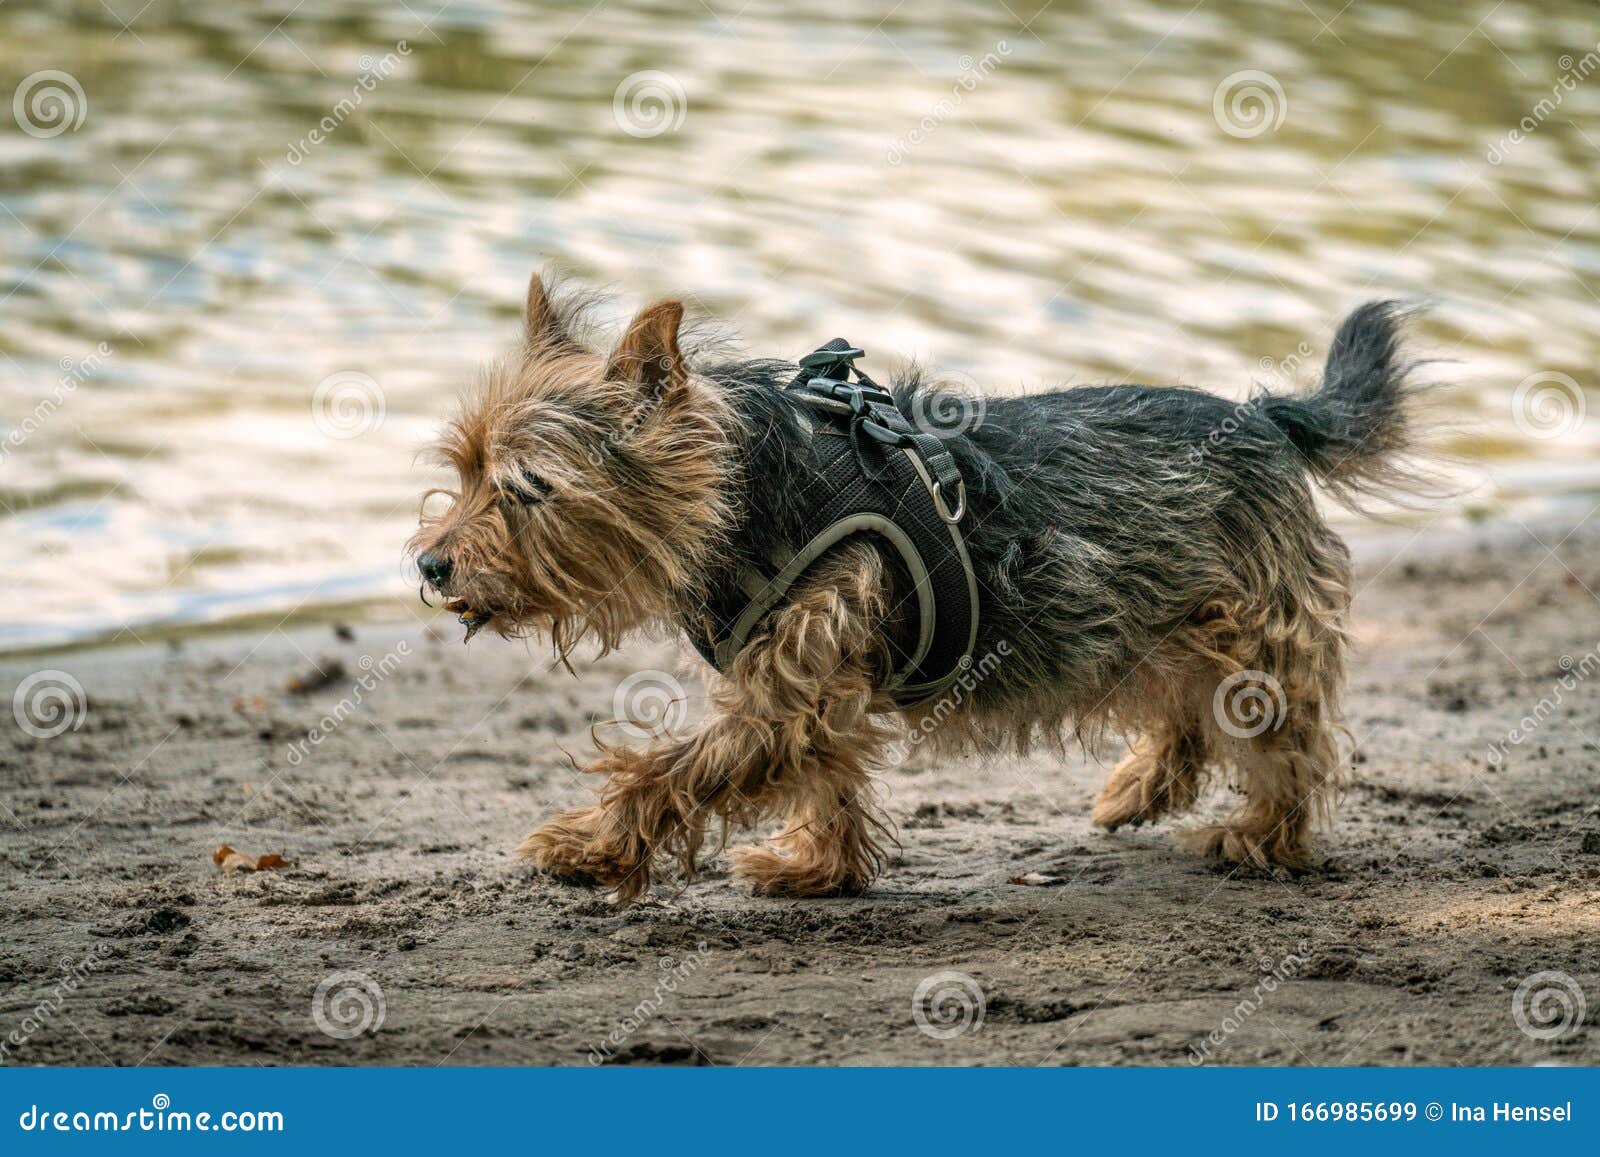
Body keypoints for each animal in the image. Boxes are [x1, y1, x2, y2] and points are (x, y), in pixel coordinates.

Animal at [409, 273, 1427, 902]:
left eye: (524, 489)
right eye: (463, 469)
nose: (428, 563)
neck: (747, 490)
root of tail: (1268, 417)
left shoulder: (788, 685)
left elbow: (675, 769)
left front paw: (584, 846)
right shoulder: (808, 678)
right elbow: (826, 774)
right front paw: (821, 866)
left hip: (1253, 628)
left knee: (1282, 736)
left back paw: (1260, 836)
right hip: (1158, 619)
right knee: (1182, 711)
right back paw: (1138, 789)